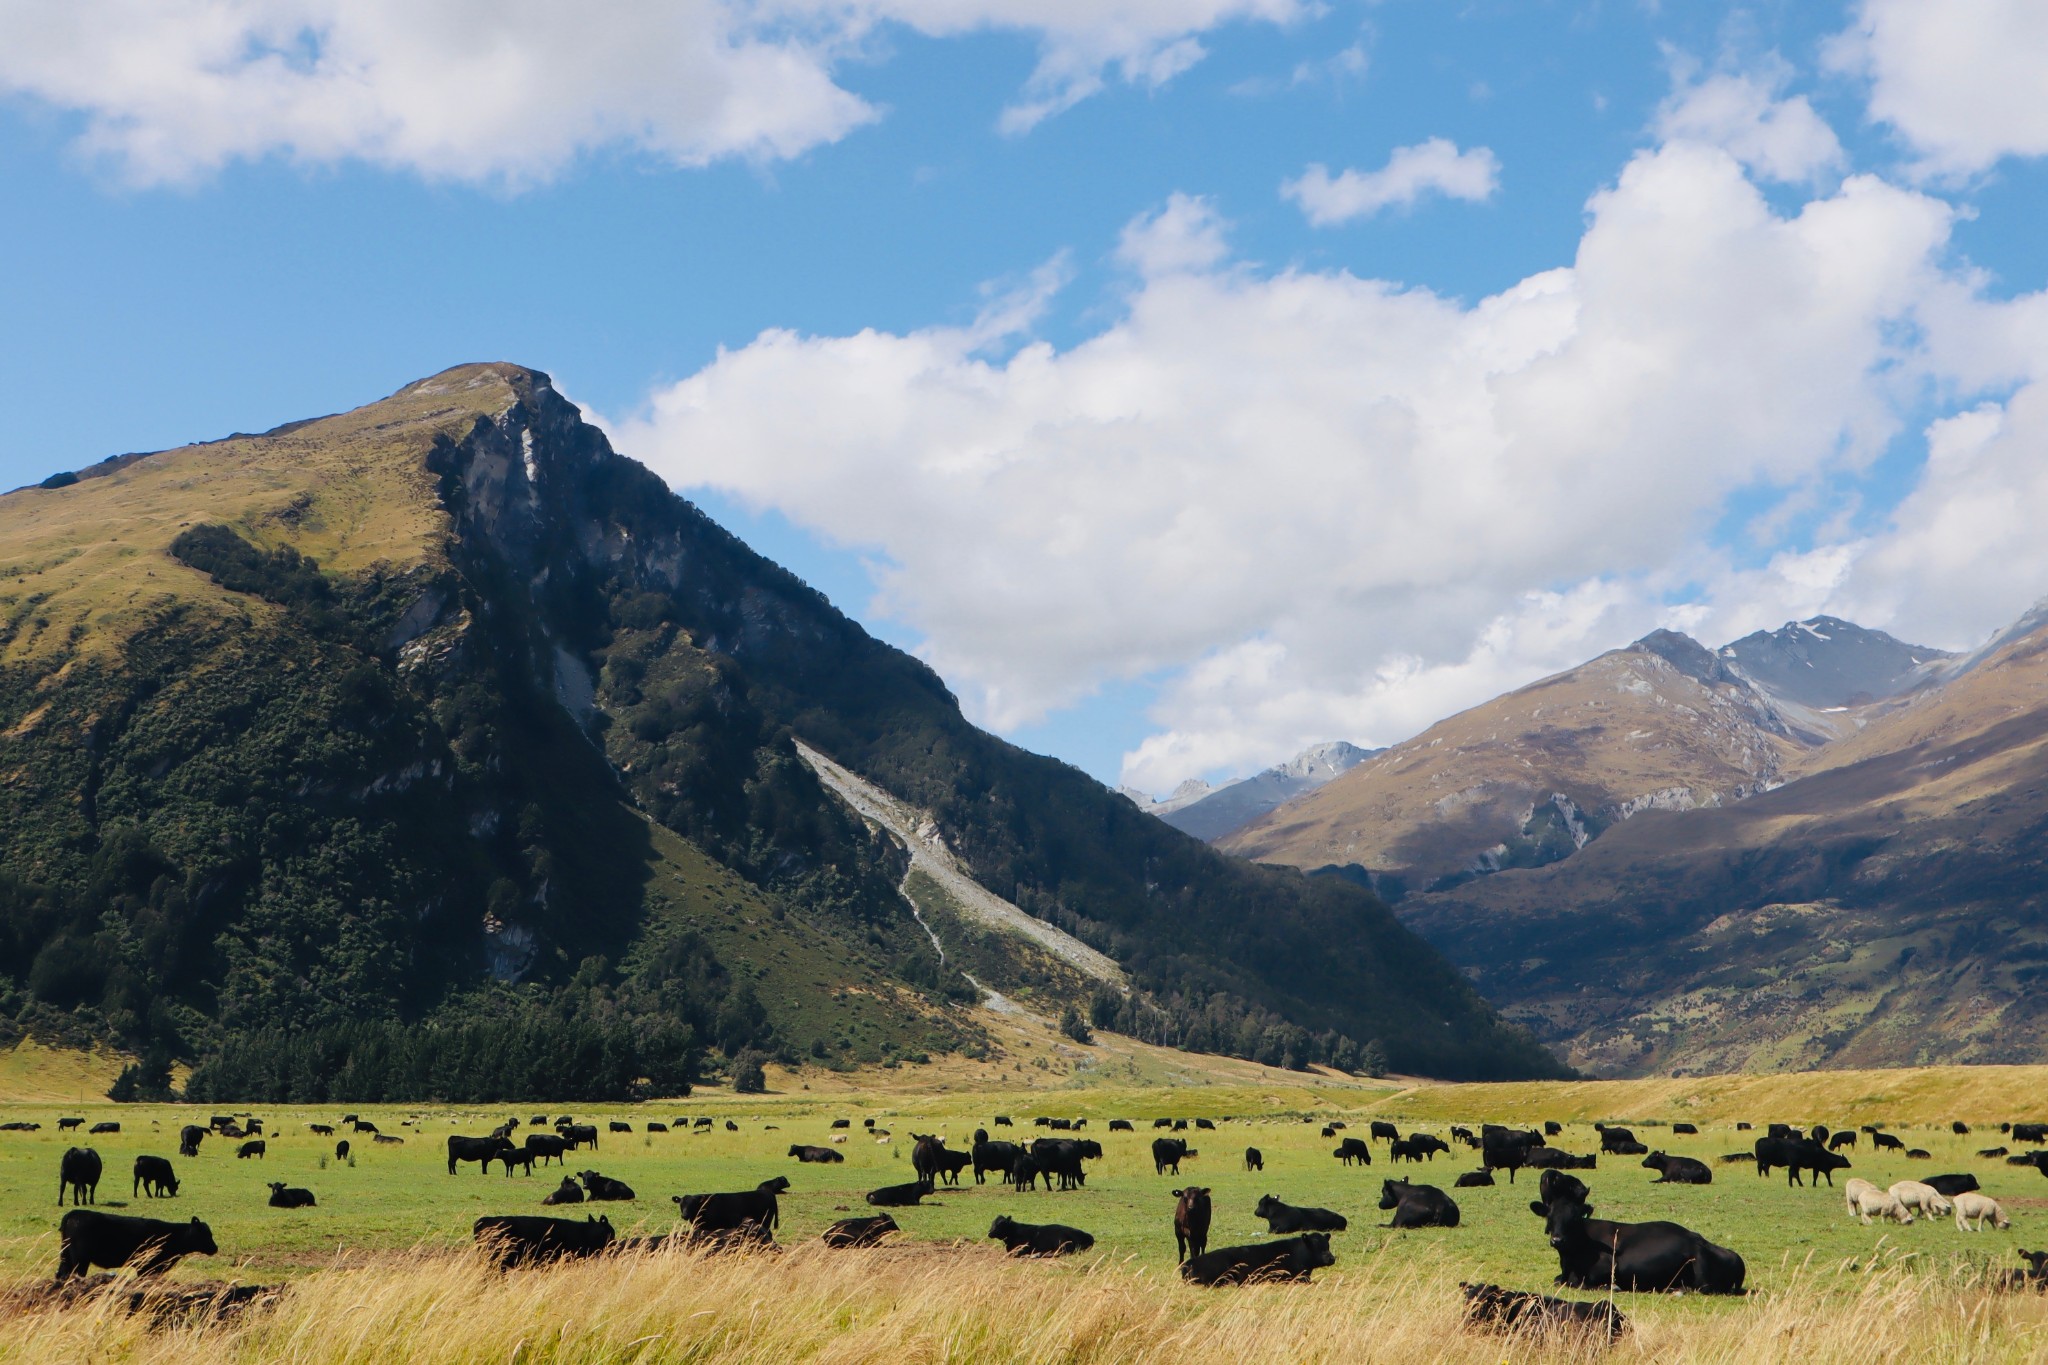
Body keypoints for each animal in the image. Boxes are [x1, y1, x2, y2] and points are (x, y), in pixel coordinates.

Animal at [56, 1219, 216, 1285]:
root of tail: (73, 1214)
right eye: (205, 1234)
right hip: (80, 1260)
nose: (215, 1248)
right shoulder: (146, 1266)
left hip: (67, 1257)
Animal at [1540, 1186, 1744, 1301]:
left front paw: (1612, 1287)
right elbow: (1559, 1280)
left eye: (1574, 1217)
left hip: (1700, 1270)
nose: (1557, 1240)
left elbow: (1580, 1283)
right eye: (1549, 1216)